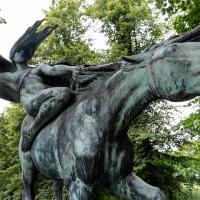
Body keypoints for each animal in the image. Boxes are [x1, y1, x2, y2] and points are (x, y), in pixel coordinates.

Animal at [0, 22, 200, 199]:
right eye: (171, 50)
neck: (104, 123)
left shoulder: (121, 180)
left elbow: (158, 193)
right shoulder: (80, 186)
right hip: (28, 170)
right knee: (27, 192)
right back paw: (27, 137)